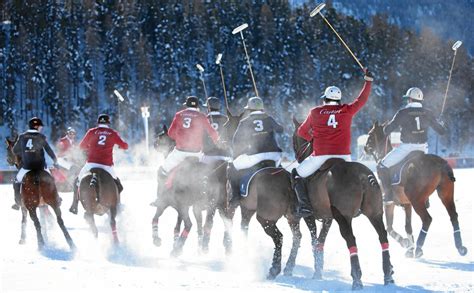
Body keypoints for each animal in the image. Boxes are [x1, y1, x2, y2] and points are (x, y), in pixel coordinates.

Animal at [294, 117, 394, 288]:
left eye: (294, 138)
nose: (296, 152)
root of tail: (362, 175)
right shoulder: (328, 218)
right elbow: (320, 242)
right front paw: (318, 271)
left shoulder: (310, 216)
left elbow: (315, 241)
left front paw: (317, 271)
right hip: (375, 213)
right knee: (383, 236)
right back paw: (388, 275)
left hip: (343, 216)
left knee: (350, 239)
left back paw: (357, 278)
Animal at [362, 120, 466, 256]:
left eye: (370, 134)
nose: (365, 148)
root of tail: (439, 163)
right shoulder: (407, 204)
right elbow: (408, 226)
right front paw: (409, 248)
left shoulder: (388, 203)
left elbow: (389, 227)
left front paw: (405, 243)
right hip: (445, 193)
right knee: (453, 215)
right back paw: (460, 247)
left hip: (417, 199)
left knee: (427, 219)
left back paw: (419, 249)